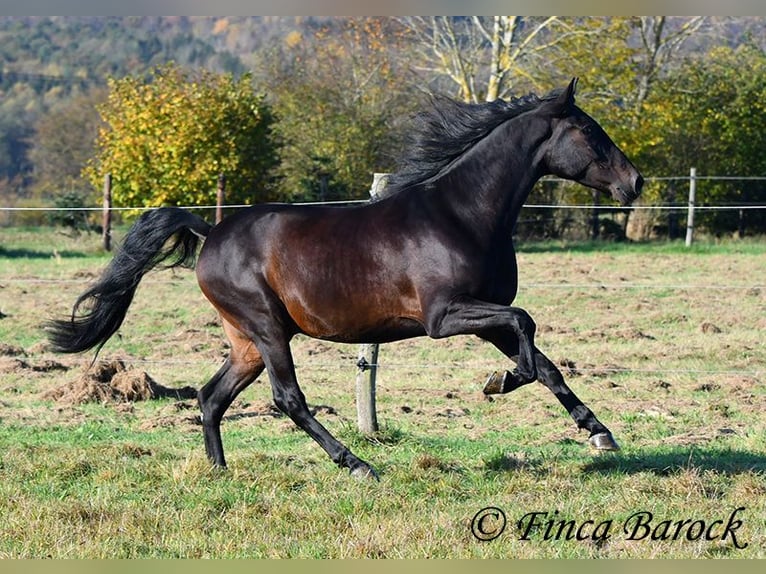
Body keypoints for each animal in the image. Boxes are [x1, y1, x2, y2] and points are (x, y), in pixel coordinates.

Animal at [49, 79, 640, 480]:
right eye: (589, 132)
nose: (634, 183)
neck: (463, 213)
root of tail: (210, 230)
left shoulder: (484, 316)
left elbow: (542, 358)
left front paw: (598, 432)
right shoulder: (445, 315)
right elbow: (527, 328)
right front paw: (501, 382)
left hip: (246, 341)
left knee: (212, 395)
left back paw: (219, 472)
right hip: (269, 330)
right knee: (287, 398)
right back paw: (356, 464)